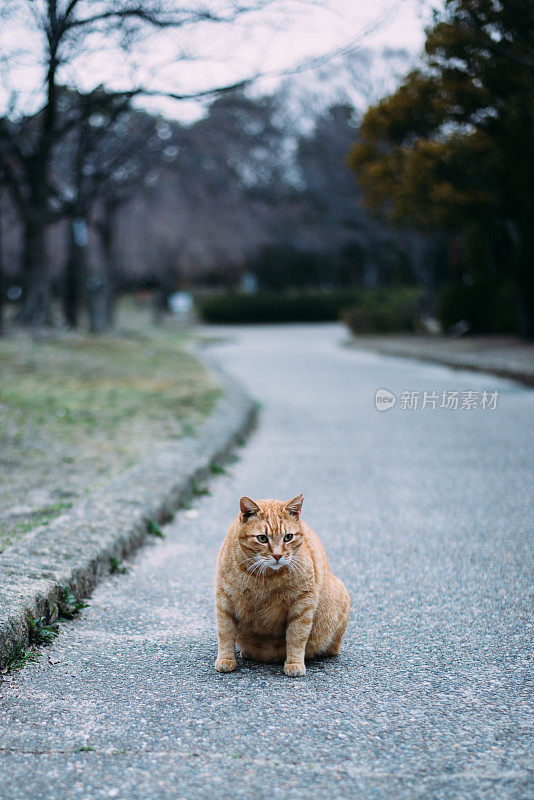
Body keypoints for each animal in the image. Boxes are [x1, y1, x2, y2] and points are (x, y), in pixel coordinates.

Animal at [214, 494, 352, 676]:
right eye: (262, 538)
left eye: (288, 537)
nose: (278, 555)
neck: (265, 578)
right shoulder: (224, 600)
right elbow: (225, 632)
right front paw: (226, 659)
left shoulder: (302, 604)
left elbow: (297, 636)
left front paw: (294, 663)